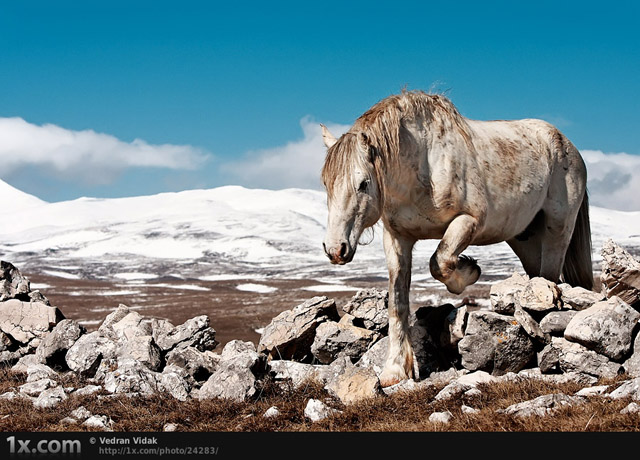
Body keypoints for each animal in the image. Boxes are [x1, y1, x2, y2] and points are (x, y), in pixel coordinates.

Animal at [322, 89, 592, 384]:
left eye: (363, 183)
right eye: (326, 183)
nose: (335, 249)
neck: (423, 164)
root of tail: (568, 145)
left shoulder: (468, 221)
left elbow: (439, 262)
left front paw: (469, 272)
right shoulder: (396, 238)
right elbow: (397, 302)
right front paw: (395, 370)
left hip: (558, 228)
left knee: (550, 276)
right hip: (525, 240)